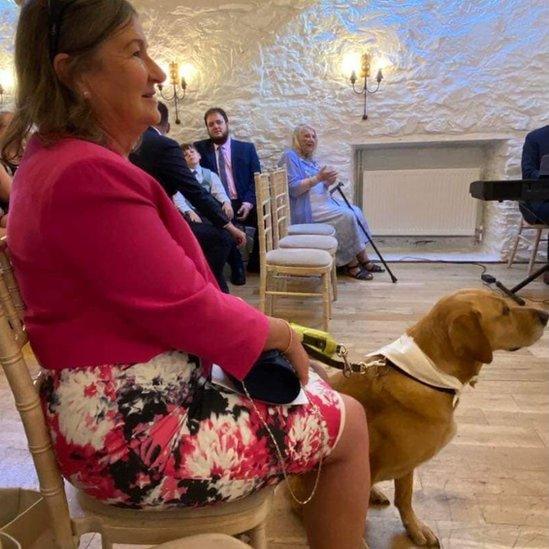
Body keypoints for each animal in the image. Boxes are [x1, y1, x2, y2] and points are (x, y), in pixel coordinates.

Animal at [288, 288, 544, 544]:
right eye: (505, 311)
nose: (545, 314)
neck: (431, 374)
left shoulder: (407, 466)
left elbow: (405, 497)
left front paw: (414, 528)